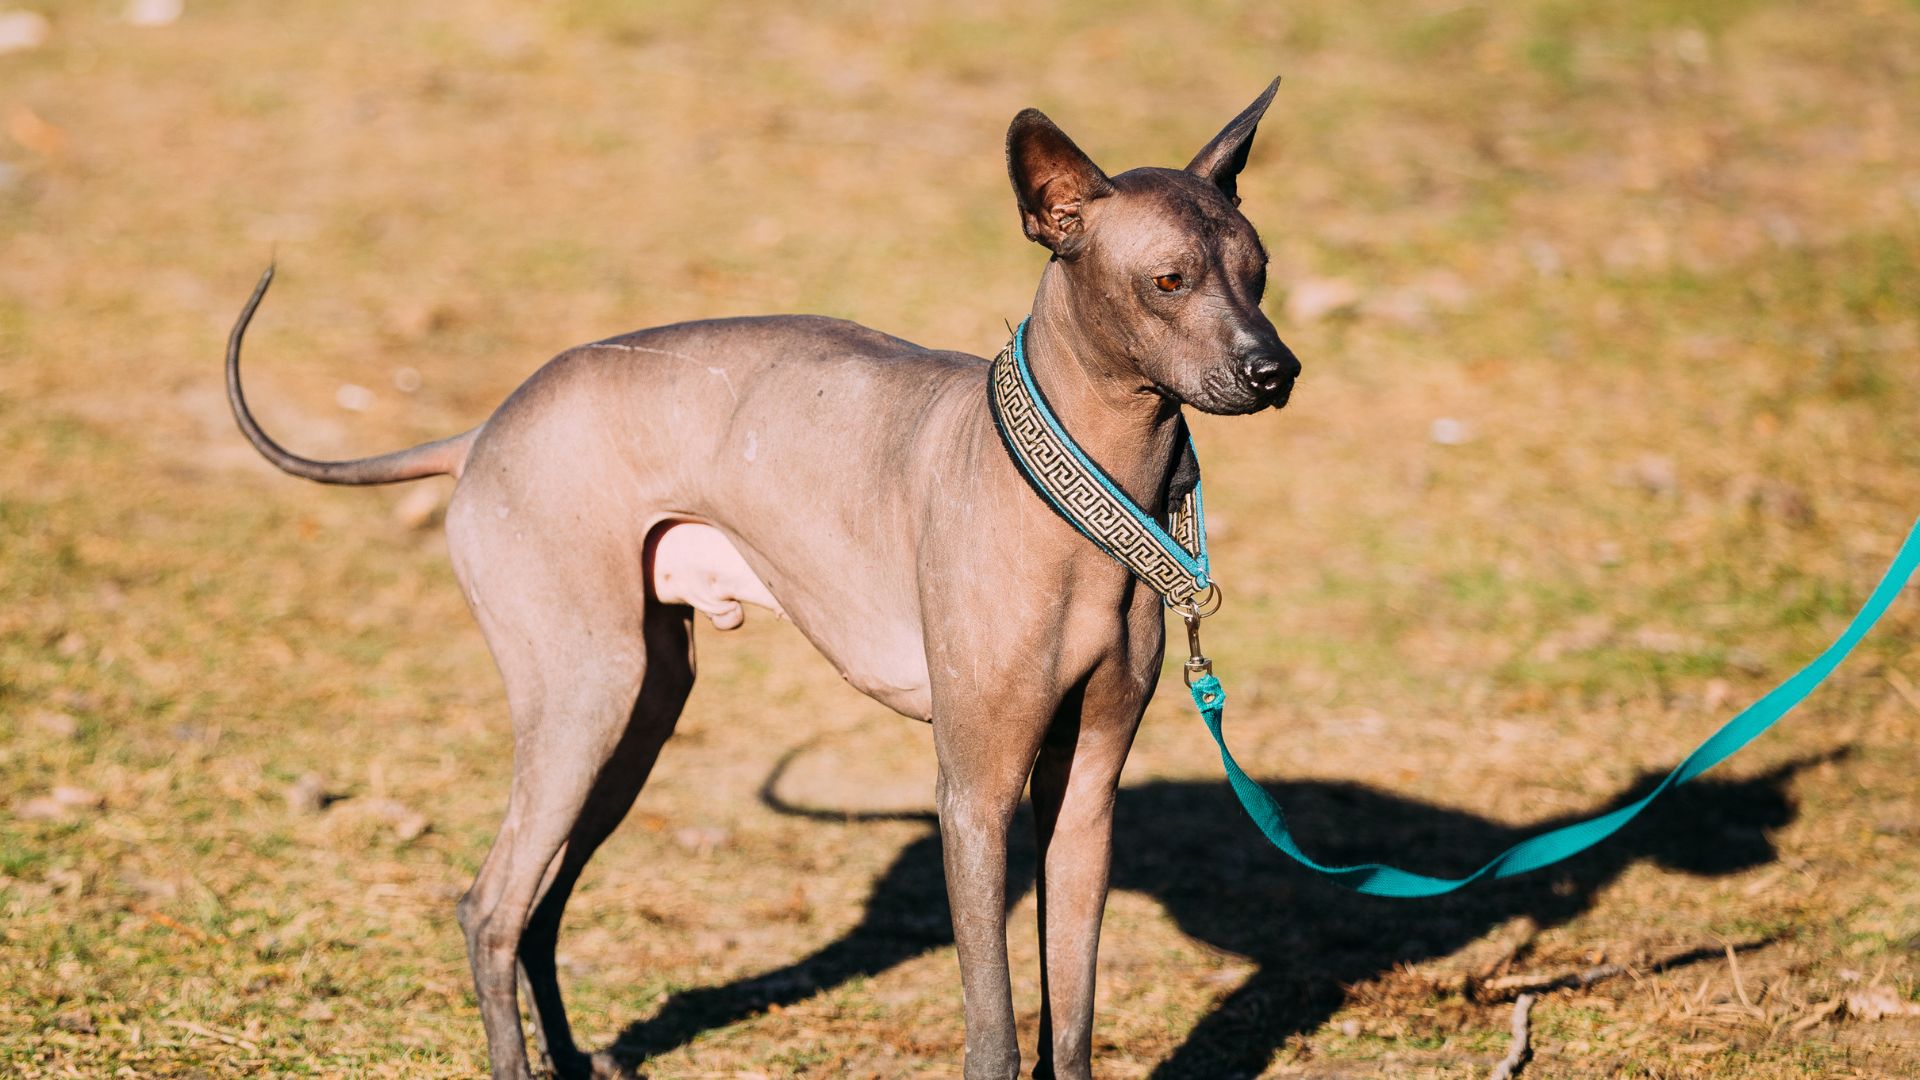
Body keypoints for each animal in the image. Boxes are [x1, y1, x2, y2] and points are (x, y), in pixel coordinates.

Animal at [228, 79, 1305, 1076]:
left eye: (1259, 273)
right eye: (1168, 280)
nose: (1275, 372)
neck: (1085, 491)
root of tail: (486, 426)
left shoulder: (1084, 794)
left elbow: (1070, 1022)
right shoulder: (974, 793)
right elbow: (997, 1030)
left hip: (641, 709)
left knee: (541, 905)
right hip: (587, 693)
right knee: (490, 908)